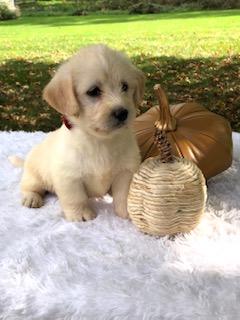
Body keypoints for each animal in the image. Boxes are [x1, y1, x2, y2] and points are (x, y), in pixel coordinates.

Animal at [15, 43, 145, 221]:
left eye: (124, 86)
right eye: (93, 91)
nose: (122, 113)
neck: (101, 141)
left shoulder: (126, 172)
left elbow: (123, 195)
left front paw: (127, 212)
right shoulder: (69, 177)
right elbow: (76, 198)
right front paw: (81, 214)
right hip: (34, 175)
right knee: (29, 187)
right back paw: (31, 198)